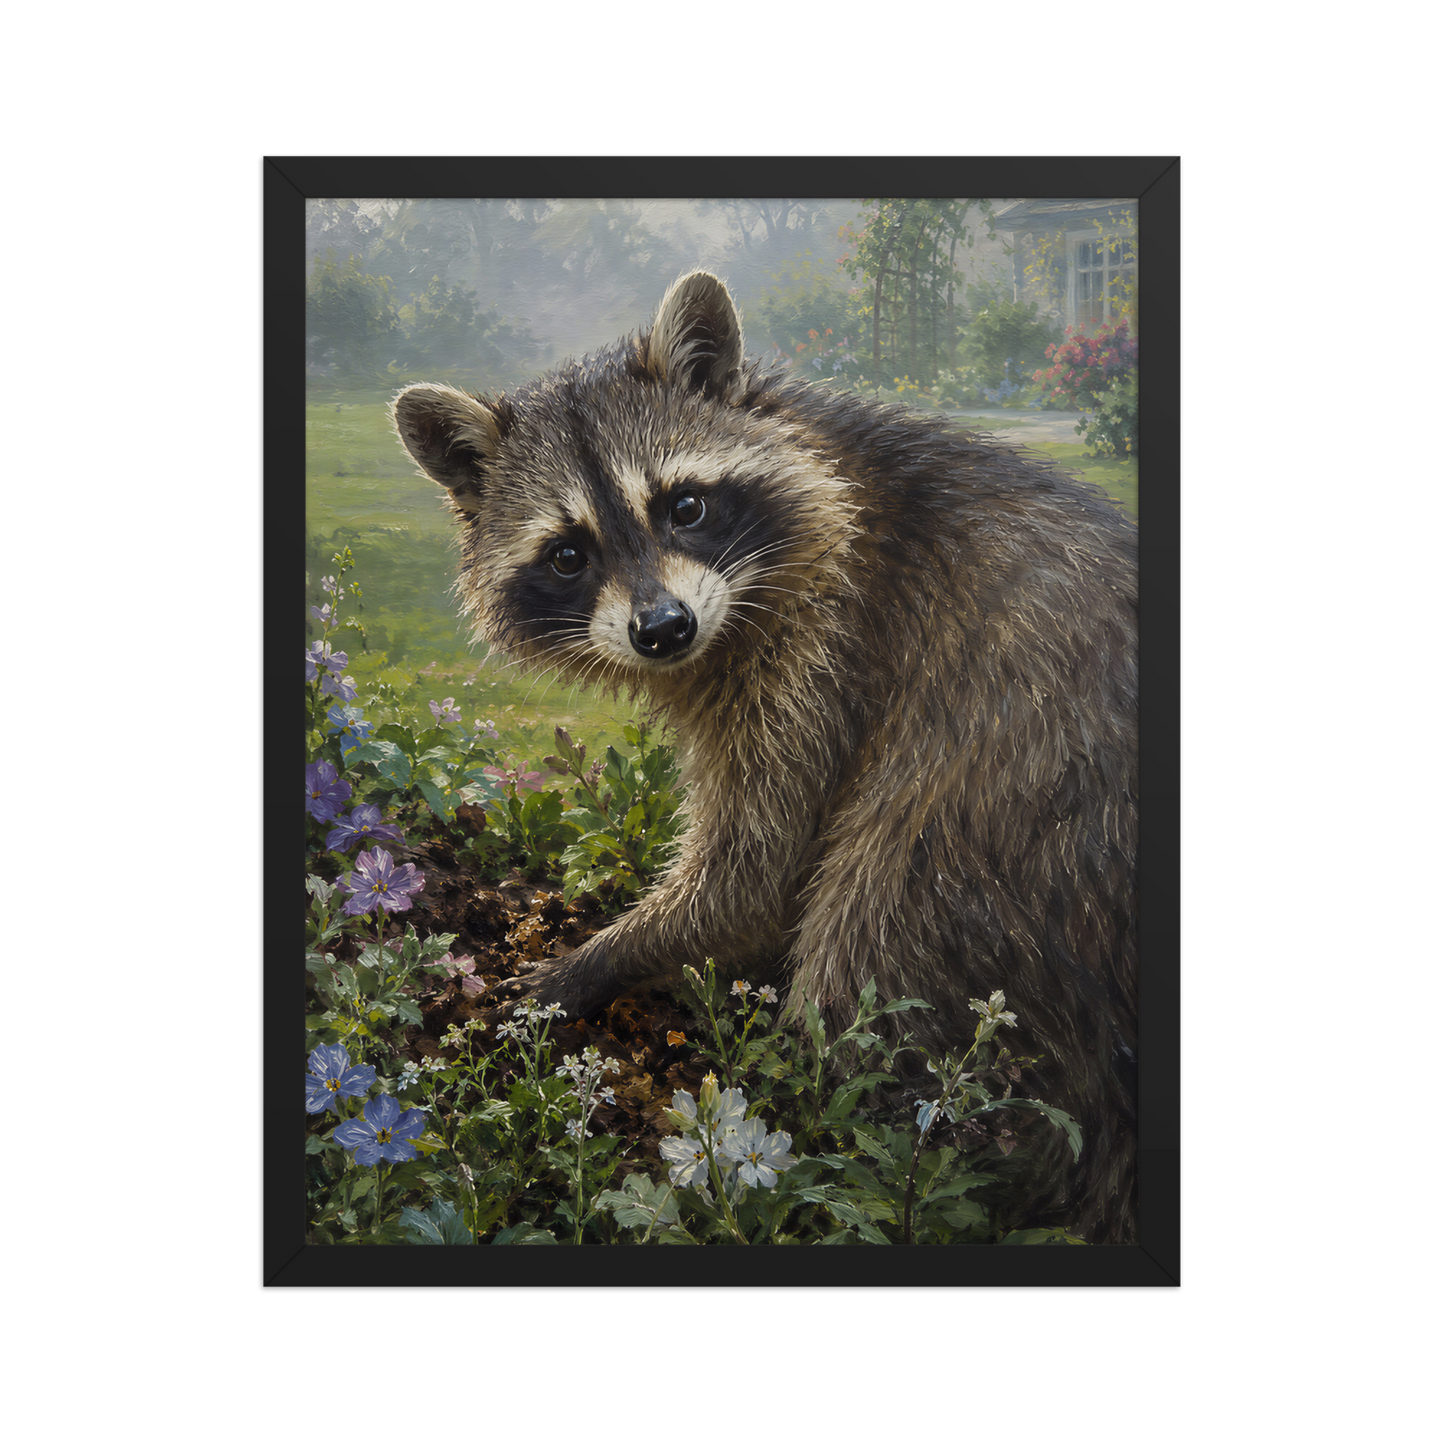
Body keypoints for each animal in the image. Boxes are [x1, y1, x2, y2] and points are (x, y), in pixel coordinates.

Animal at [392, 271, 1138, 1243]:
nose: (662, 629)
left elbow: (755, 872)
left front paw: (596, 960)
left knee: (873, 939)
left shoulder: (830, 649)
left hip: (1005, 833)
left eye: (685, 505)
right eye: (567, 553)